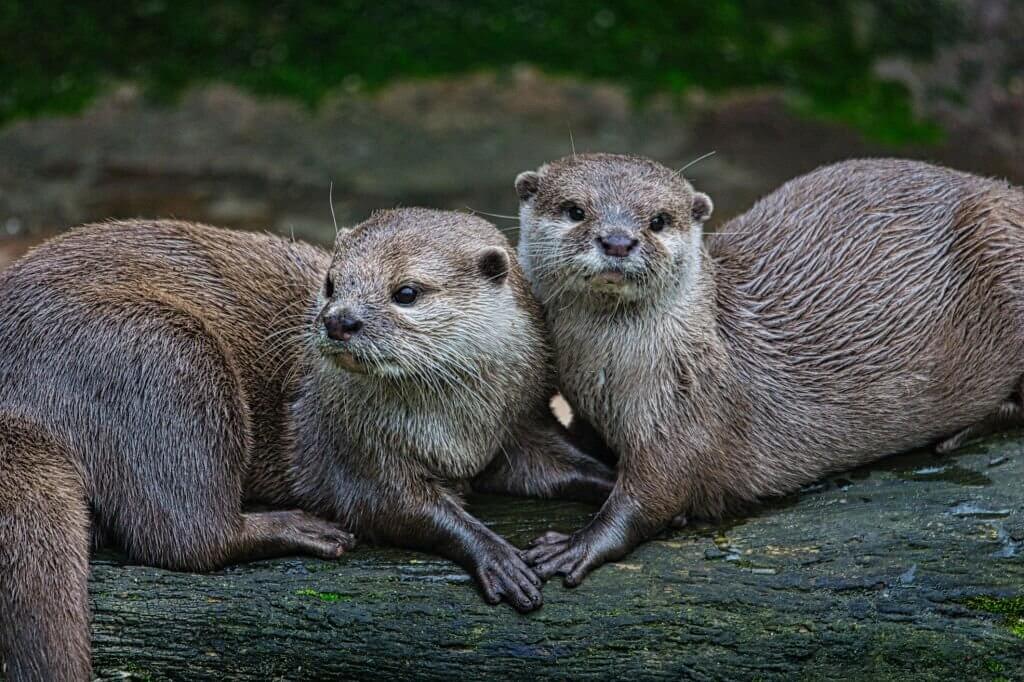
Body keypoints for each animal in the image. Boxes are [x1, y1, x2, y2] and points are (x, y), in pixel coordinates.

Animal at [0, 210, 613, 680]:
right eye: (332, 283)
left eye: (406, 292)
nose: (340, 320)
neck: (459, 427)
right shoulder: (346, 442)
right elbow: (393, 506)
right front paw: (494, 553)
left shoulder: (516, 424)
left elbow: (547, 466)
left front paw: (616, 487)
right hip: (162, 356)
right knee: (185, 538)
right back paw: (302, 529)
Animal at [514, 154, 1024, 585]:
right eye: (575, 210)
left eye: (658, 220)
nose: (618, 241)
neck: (607, 377)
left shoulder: (691, 409)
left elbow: (655, 492)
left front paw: (578, 544)